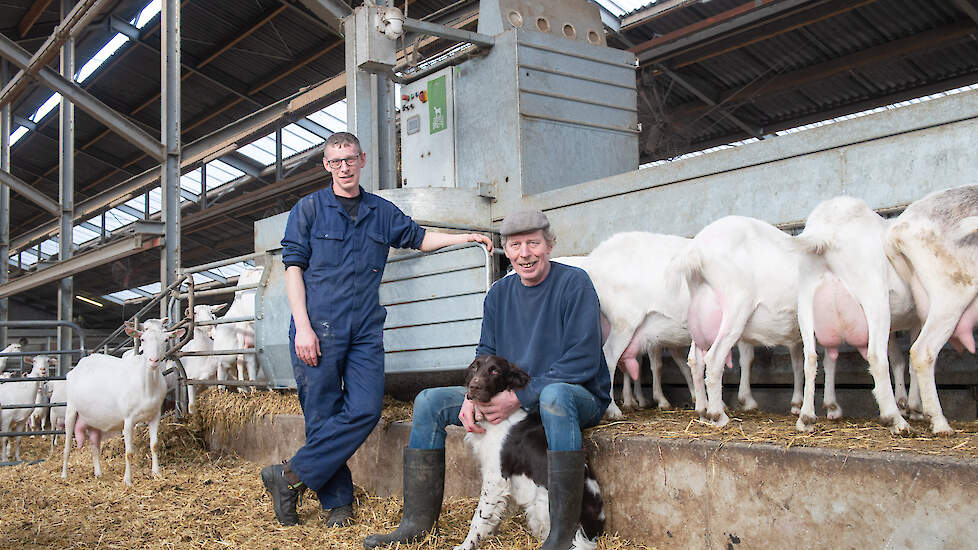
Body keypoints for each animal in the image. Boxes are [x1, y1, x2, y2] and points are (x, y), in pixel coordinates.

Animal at [62, 324, 184, 488]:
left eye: (165, 340)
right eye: (142, 339)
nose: (153, 360)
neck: (146, 385)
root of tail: (80, 364)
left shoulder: (155, 415)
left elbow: (154, 445)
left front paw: (156, 473)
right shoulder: (128, 419)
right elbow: (129, 452)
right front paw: (127, 480)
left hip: (95, 419)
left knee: (94, 446)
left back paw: (98, 473)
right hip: (71, 407)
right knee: (67, 444)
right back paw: (64, 475)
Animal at [452, 356, 604, 548]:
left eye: (495, 371)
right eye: (474, 367)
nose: (474, 386)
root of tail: (595, 530)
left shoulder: (496, 477)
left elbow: (480, 517)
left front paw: (466, 545)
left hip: (542, 503)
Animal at [792, 198, 916, 436]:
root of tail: (826, 230)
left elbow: (898, 359)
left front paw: (905, 402)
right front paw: (913, 406)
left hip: (805, 302)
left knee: (810, 357)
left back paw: (806, 418)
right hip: (874, 297)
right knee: (876, 357)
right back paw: (896, 420)